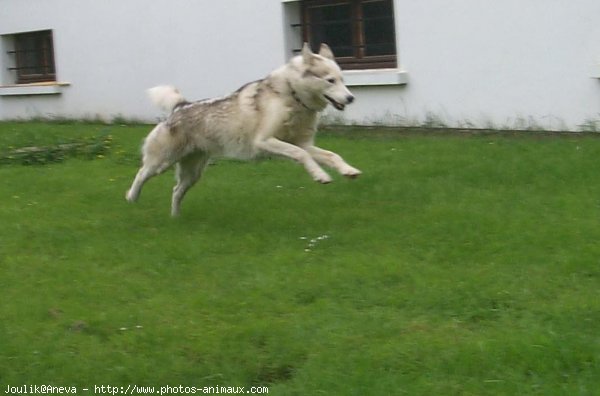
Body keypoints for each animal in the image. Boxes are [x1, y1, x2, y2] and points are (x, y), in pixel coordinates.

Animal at [125, 43, 360, 217]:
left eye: (343, 80)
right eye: (330, 80)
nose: (351, 98)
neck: (293, 97)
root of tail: (181, 105)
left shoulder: (303, 143)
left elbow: (331, 155)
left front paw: (348, 170)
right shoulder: (265, 141)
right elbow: (301, 155)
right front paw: (320, 175)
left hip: (193, 173)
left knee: (176, 191)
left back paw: (176, 218)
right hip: (162, 162)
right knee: (141, 173)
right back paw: (131, 197)